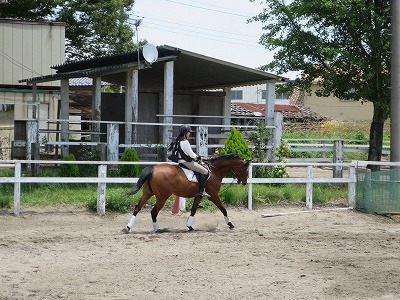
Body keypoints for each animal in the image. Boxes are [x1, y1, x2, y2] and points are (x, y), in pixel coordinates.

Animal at [122, 154, 250, 233]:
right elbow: (223, 209)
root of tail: (153, 169)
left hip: (148, 193)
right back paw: (158, 229)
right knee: (154, 212)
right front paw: (230, 224)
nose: (244, 182)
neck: (214, 170)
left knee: (137, 208)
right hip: (162, 197)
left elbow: (193, 210)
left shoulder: (199, 195)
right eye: (245, 169)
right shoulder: (213, 195)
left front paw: (190, 226)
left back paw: (128, 227)